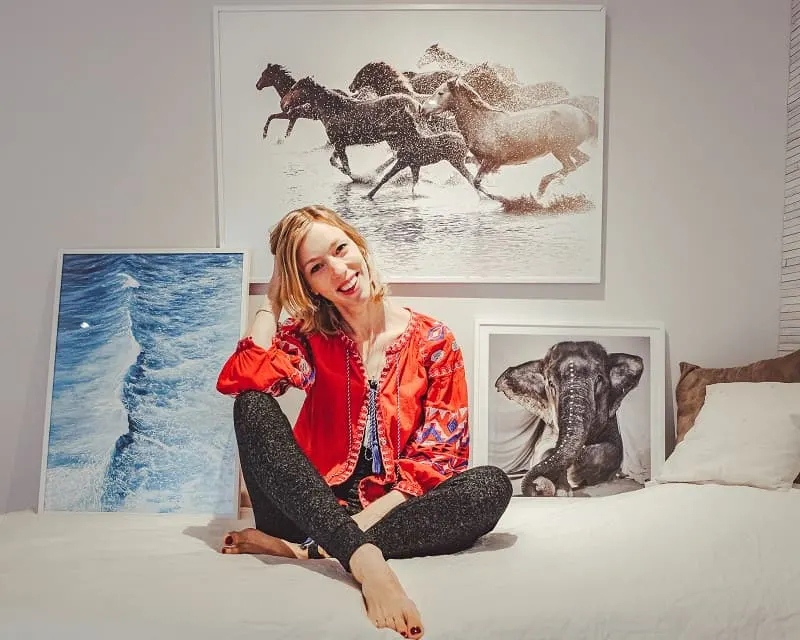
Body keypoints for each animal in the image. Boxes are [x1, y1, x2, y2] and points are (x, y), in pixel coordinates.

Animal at [418, 76, 600, 195]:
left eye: (440, 93)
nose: (422, 109)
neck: (483, 122)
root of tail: (584, 115)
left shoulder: (492, 160)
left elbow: (477, 182)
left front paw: (501, 200)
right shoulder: (481, 160)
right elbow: (473, 176)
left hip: (559, 149)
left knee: (570, 166)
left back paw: (541, 188)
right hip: (569, 148)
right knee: (582, 160)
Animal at [494, 340, 644, 496]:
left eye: (599, 379)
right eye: (551, 384)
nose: (536, 487)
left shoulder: (611, 419)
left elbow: (613, 449)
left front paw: (573, 475)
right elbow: (541, 450)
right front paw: (560, 489)